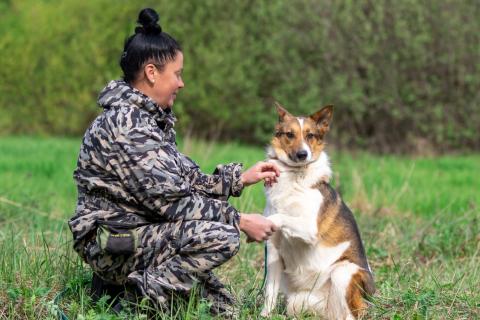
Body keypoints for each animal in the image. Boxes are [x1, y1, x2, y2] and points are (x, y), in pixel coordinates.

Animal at [258, 104, 376, 318]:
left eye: (310, 135)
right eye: (290, 134)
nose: (302, 155)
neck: (295, 175)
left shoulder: (310, 228)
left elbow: (280, 216)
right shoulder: (273, 252)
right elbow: (270, 293)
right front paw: (264, 315)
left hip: (342, 272)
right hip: (296, 303)